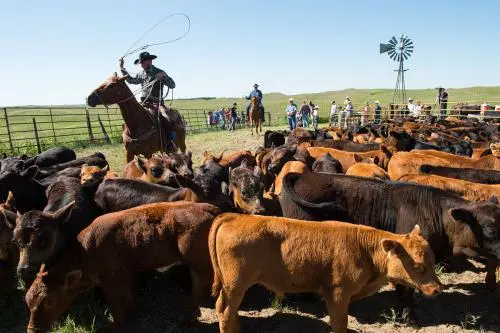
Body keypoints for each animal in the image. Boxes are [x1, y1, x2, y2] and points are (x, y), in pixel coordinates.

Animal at [25, 200, 220, 332]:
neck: (86, 251)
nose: (33, 330)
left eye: (49, 300)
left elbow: (114, 303)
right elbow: (126, 296)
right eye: (28, 300)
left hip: (199, 263)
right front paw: (132, 314)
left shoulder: (110, 280)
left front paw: (116, 326)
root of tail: (206, 207)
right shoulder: (124, 274)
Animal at [210, 213, 442, 332]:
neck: (363, 248)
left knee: (230, 311)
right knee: (225, 310)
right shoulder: (338, 294)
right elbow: (340, 322)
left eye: (433, 261)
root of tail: (234, 216)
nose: (438, 289)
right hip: (235, 285)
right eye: (418, 266)